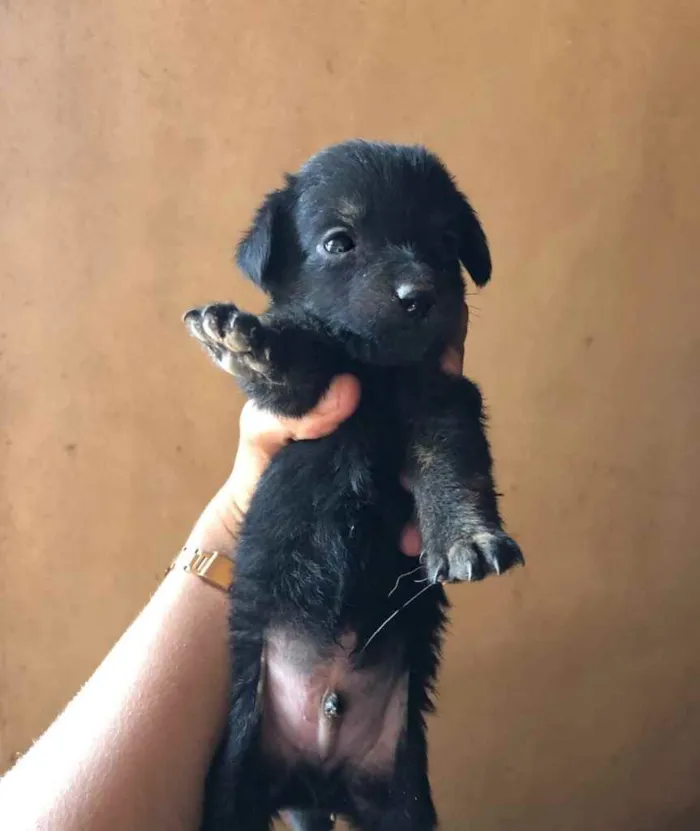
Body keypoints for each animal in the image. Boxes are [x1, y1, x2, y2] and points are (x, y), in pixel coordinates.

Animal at [183, 140, 524, 828]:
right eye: (339, 242)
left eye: (446, 240)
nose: (420, 295)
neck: (377, 370)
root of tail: (315, 785)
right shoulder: (305, 406)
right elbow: (293, 365)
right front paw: (249, 345)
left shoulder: (443, 400)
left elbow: (454, 467)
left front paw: (467, 538)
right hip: (235, 779)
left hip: (402, 794)